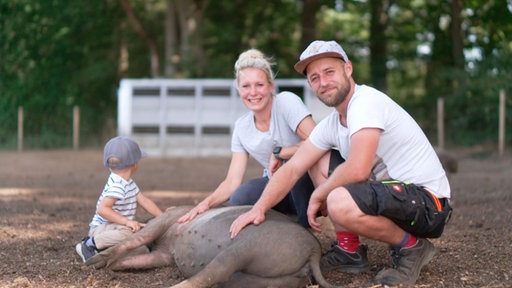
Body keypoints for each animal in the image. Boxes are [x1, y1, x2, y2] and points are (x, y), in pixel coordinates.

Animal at [86, 205, 342, 288]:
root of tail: (313, 250)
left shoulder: (167, 221)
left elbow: (135, 239)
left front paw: (93, 262)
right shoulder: (164, 255)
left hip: (247, 245)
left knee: (211, 273)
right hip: (279, 279)